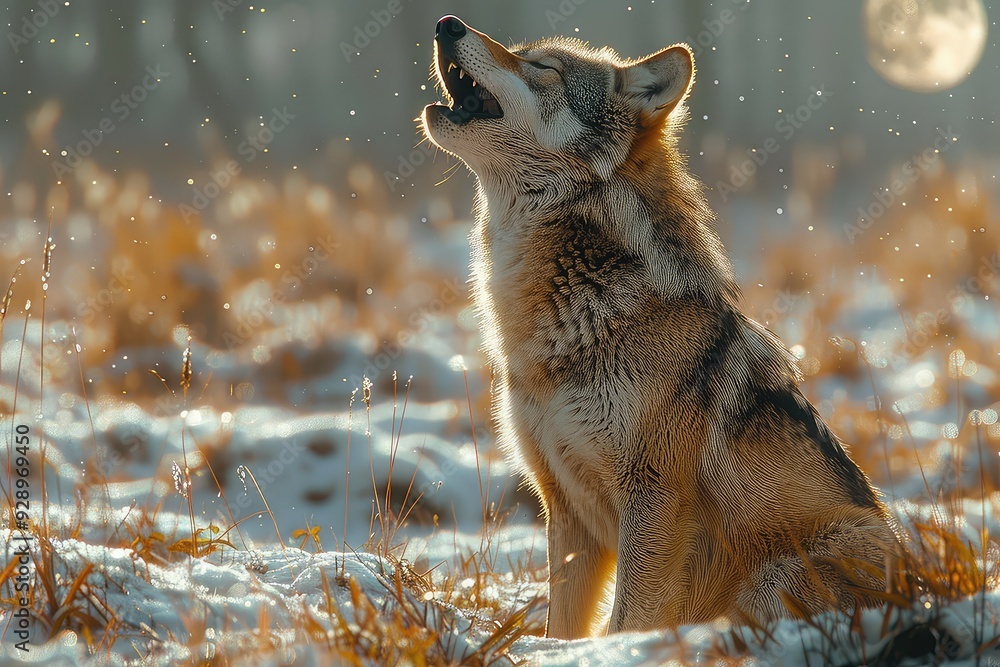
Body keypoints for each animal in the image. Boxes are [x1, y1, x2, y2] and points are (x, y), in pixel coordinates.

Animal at [420, 15, 897, 639]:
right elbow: (563, 627)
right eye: (524, 54)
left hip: (780, 573)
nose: (446, 23)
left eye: (543, 68)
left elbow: (629, 620)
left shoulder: (655, 503)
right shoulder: (565, 509)